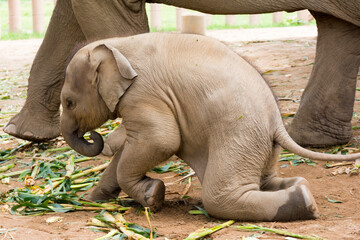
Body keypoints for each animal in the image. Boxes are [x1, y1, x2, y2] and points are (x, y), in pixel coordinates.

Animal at [60, 31, 358, 221]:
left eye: (69, 102)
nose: (93, 136)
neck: (117, 44)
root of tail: (278, 122)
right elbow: (136, 146)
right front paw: (90, 199)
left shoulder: (143, 93)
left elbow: (160, 139)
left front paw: (153, 197)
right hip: (260, 145)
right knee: (266, 181)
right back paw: (300, 189)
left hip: (240, 135)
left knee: (220, 196)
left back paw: (306, 202)